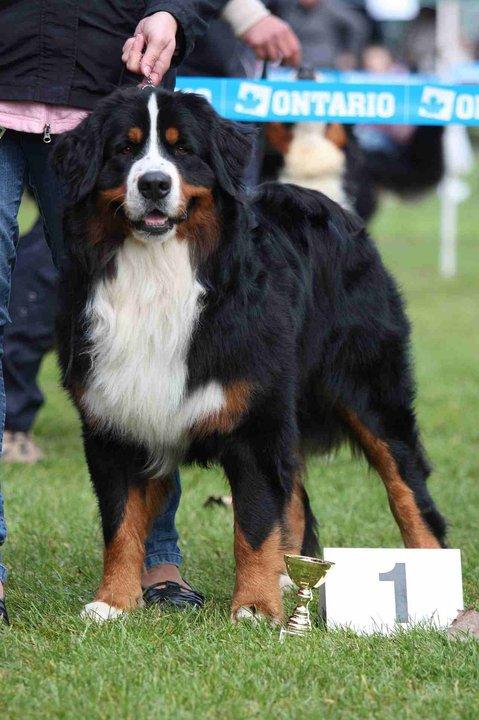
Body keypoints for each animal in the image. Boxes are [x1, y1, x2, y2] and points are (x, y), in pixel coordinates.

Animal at [53, 87, 447, 623]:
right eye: (124, 149)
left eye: (183, 149)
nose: (154, 183)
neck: (158, 274)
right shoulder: (113, 420)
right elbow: (121, 522)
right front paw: (112, 602)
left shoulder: (256, 422)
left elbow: (255, 524)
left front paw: (256, 607)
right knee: (297, 497)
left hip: (369, 393)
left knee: (407, 488)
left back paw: (431, 582)